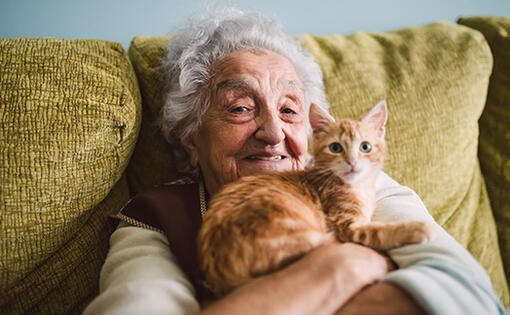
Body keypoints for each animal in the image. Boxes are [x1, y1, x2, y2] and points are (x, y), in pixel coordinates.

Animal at [199, 101, 434, 296]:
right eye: (336, 147)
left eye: (365, 147)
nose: (351, 162)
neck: (356, 188)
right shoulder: (347, 227)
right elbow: (378, 232)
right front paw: (417, 229)